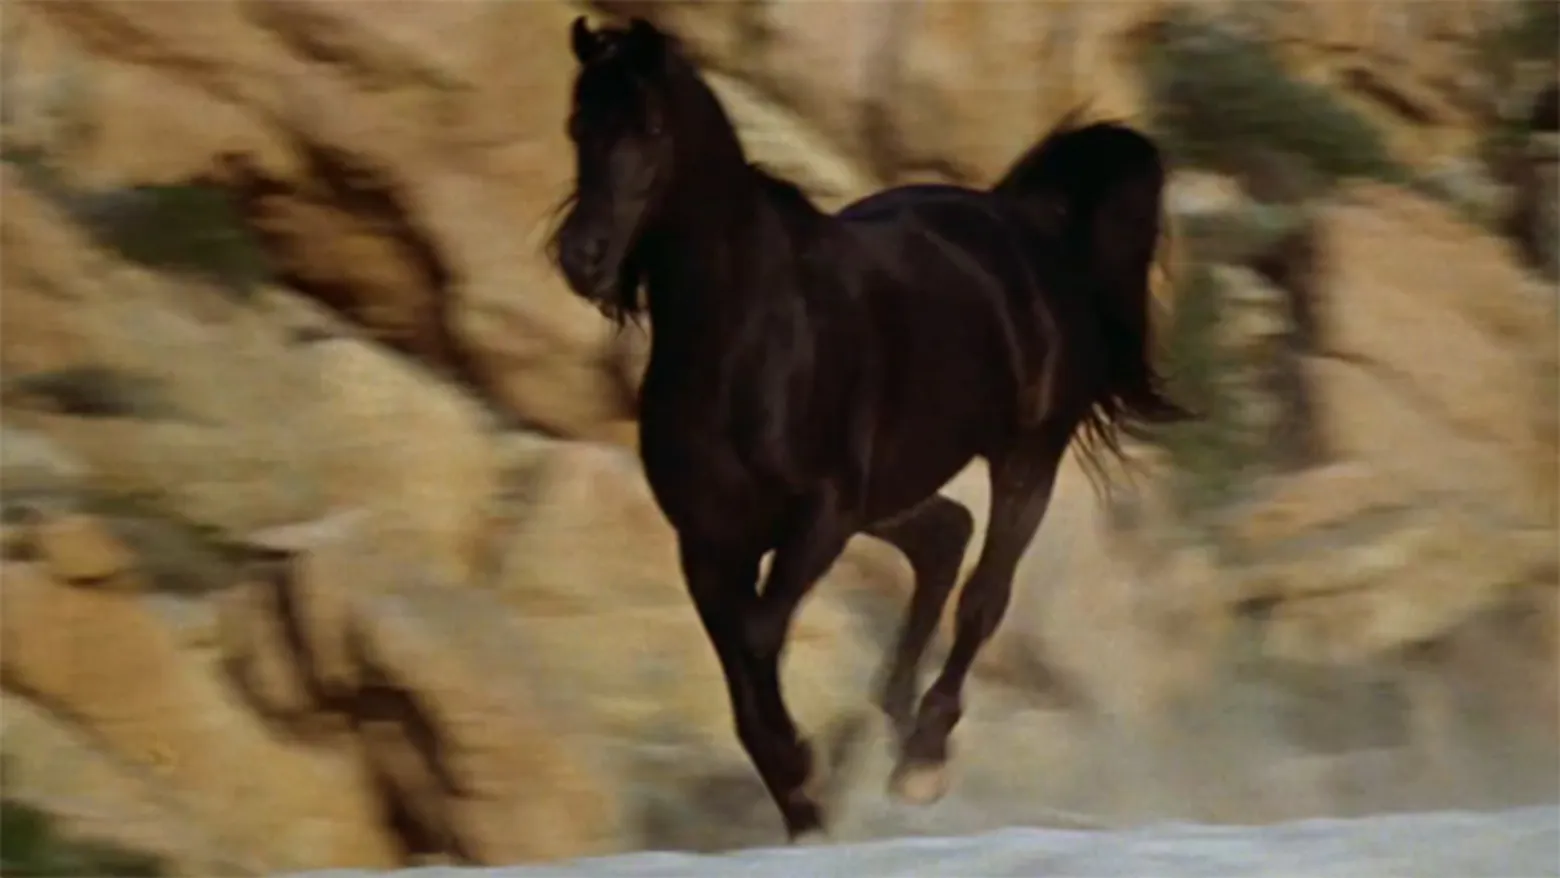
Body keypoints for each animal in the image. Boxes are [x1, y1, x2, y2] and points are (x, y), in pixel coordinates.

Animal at [548, 16, 1191, 841]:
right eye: (578, 126)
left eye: (651, 128)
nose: (582, 257)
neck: (744, 340)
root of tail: (1021, 219)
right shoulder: (709, 540)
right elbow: (740, 668)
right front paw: (804, 799)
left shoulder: (819, 515)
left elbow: (758, 637)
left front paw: (809, 767)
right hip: (891, 488)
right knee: (945, 537)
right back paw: (889, 723)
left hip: (1024, 458)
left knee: (984, 594)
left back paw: (920, 756)